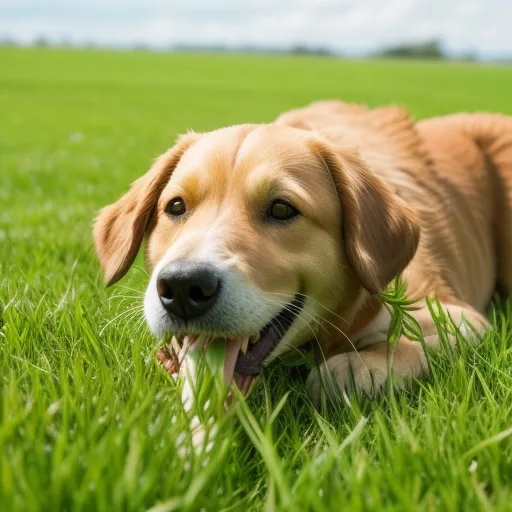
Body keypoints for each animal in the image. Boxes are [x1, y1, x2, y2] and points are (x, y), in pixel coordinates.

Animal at [93, 100, 512, 404]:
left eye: (281, 209)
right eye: (176, 207)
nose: (182, 287)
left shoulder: (461, 316)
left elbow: (407, 343)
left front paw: (359, 366)